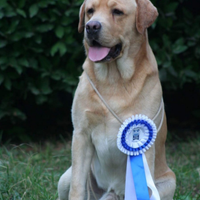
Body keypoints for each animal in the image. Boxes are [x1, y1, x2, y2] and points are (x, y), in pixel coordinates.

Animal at [57, 0, 175, 198]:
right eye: (90, 11)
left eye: (117, 12)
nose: (91, 26)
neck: (113, 79)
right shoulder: (81, 134)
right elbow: (77, 187)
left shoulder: (146, 147)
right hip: (65, 177)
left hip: (168, 184)